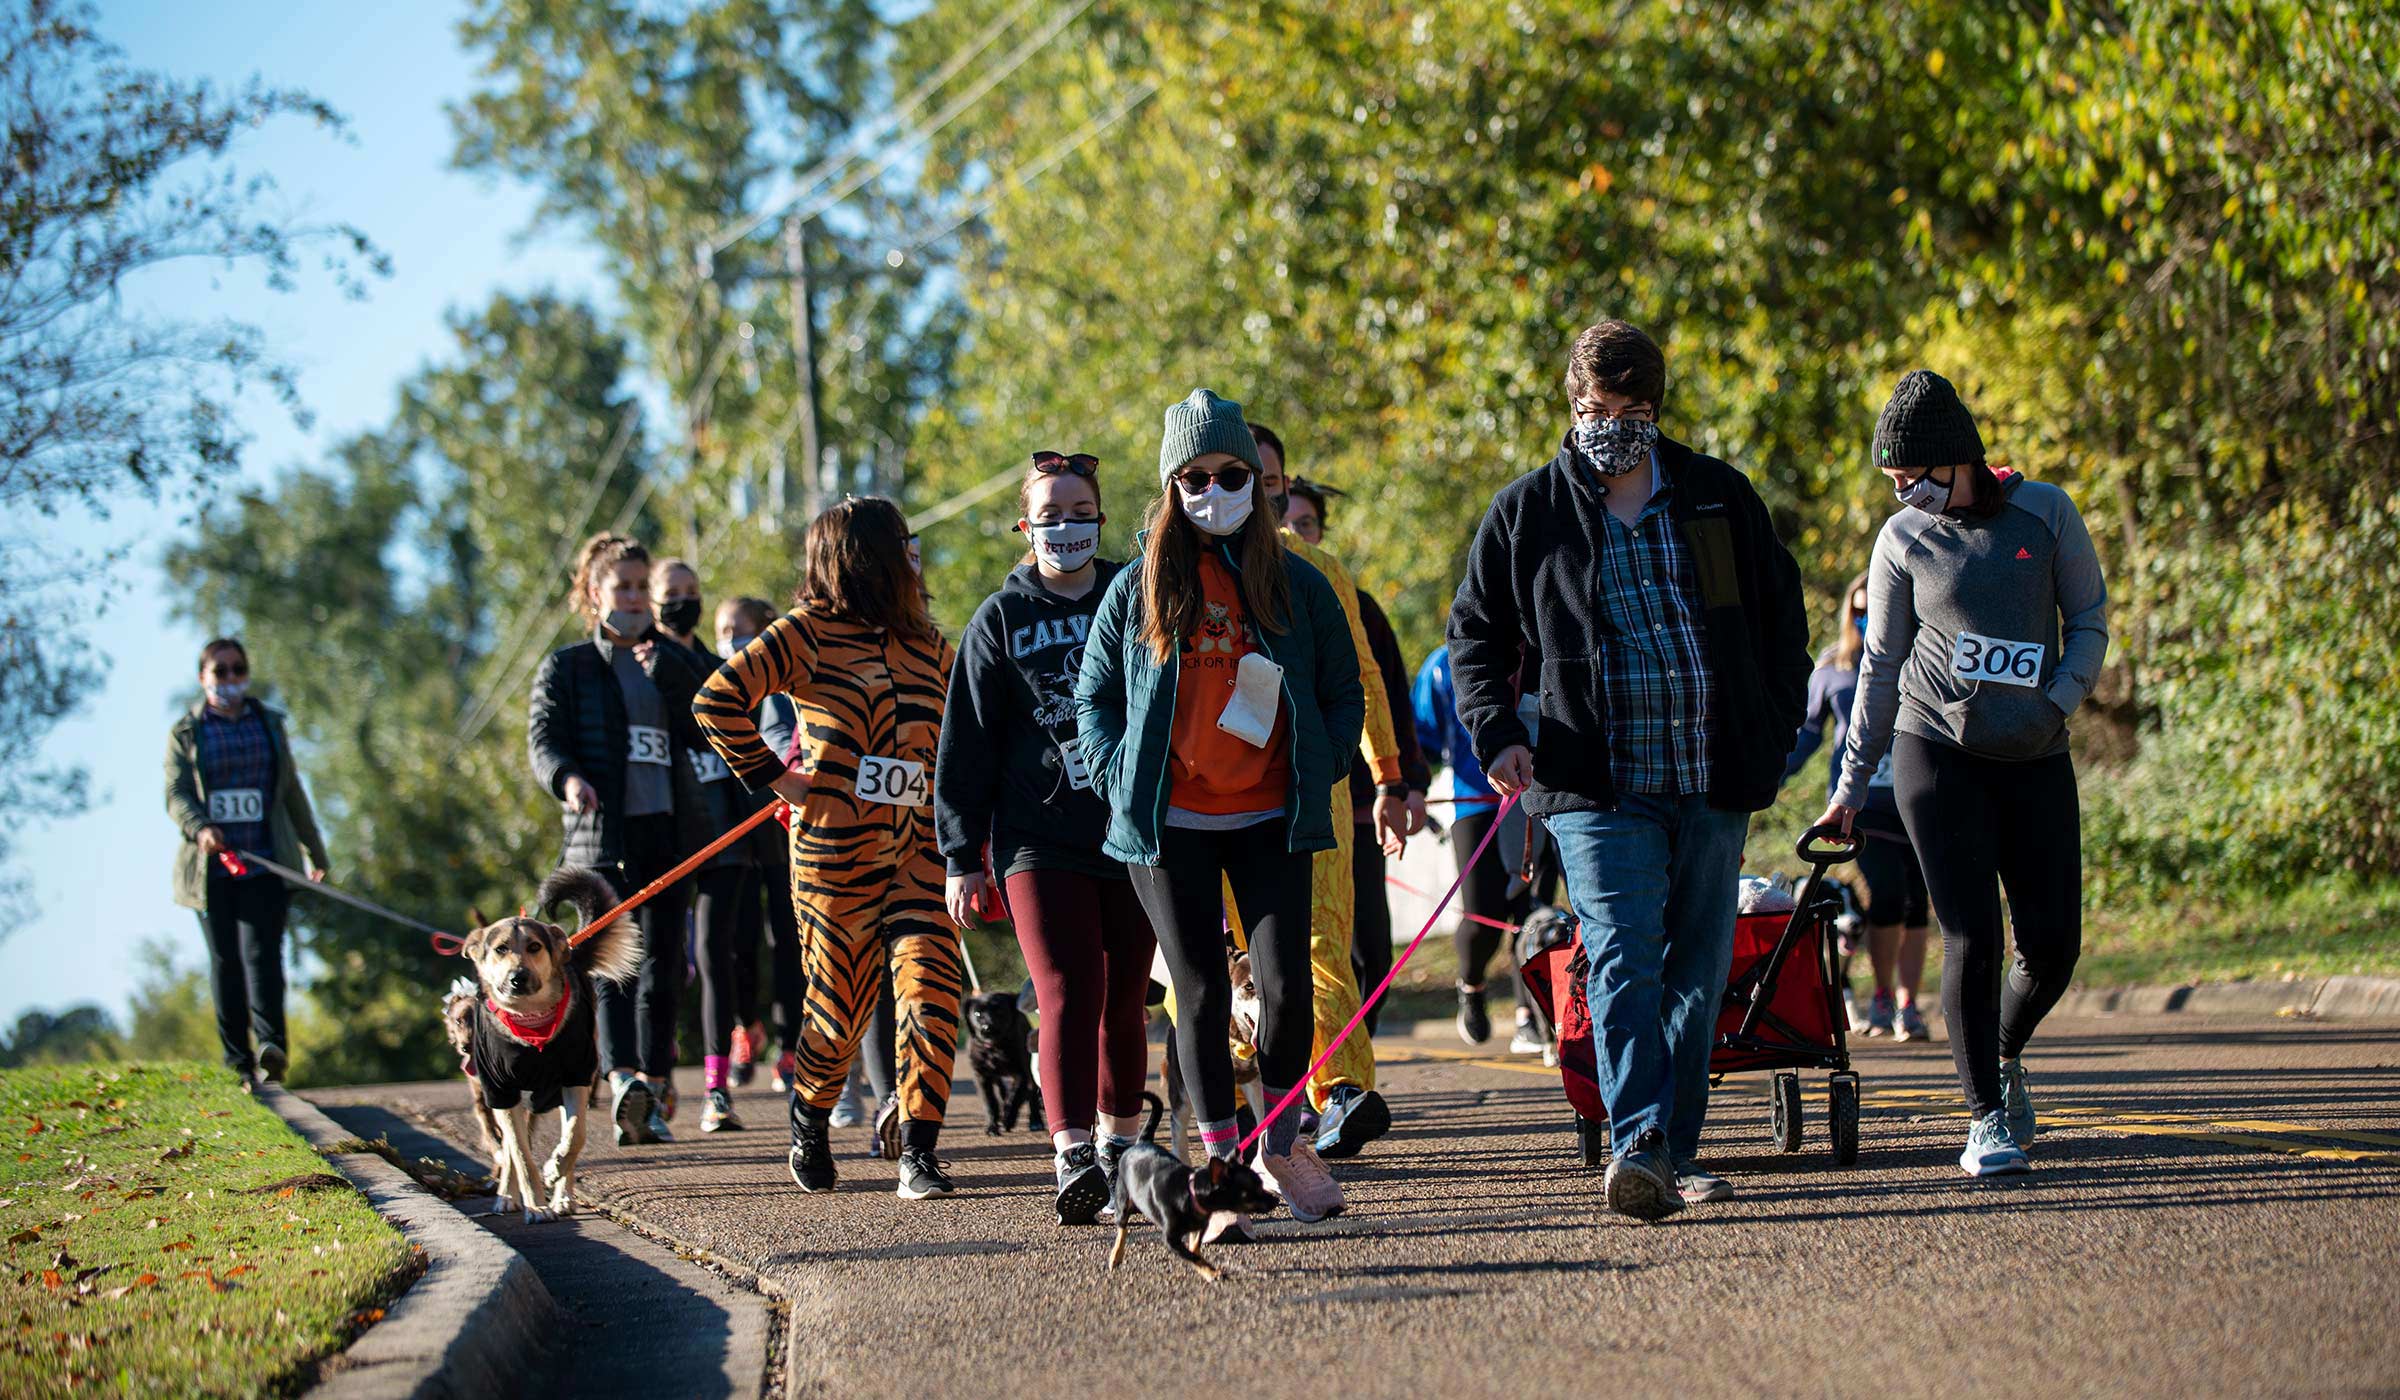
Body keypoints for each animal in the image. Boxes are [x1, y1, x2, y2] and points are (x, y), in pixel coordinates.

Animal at [453, 869, 643, 1219]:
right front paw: (536, 1205)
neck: (531, 1024)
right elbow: (520, 1156)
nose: (518, 977)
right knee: (512, 1150)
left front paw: (555, 1171)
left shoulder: (575, 1077)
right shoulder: (501, 1091)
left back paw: (562, 1196)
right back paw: (508, 1196)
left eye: (534, 946)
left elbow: (576, 1136)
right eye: (501, 949)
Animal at [955, 989, 1041, 1133]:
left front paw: (1008, 1120)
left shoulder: (1021, 1074)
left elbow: (1014, 1098)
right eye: (977, 1014)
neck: (994, 1049)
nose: (986, 1028)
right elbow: (990, 1102)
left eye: (999, 1011)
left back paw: (1035, 1121)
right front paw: (992, 1127)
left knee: (1032, 1095)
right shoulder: (981, 1076)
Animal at [1108, 1090, 1286, 1287]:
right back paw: (1116, 1256)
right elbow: (1192, 1257)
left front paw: (1205, 1265)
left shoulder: (1200, 1227)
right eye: (1251, 1192)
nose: (1276, 1200)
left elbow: (1194, 1249)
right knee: (1122, 1229)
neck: (1190, 1194)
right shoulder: (1171, 1240)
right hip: (1123, 1201)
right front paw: (1212, 1272)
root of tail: (1141, 1142)